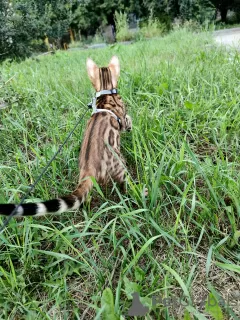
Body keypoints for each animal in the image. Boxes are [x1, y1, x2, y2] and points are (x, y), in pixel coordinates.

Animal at [0, 55, 132, 218]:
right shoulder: (122, 119)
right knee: (125, 183)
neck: (106, 92)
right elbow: (128, 120)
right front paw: (131, 125)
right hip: (120, 166)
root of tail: (88, 170)